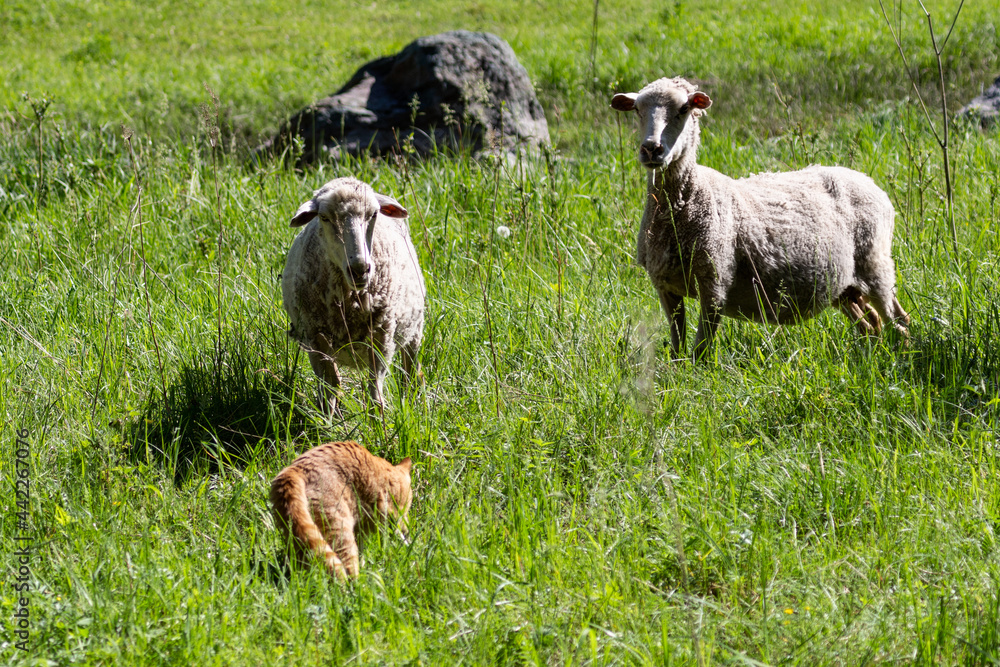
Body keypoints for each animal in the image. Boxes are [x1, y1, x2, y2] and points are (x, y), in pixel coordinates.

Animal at [282, 177, 425, 415]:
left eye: (373, 214)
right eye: (324, 217)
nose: (359, 269)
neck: (351, 301)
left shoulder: (381, 339)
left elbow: (375, 394)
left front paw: (378, 420)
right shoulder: (316, 339)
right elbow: (329, 391)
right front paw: (327, 421)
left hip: (414, 330)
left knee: (410, 371)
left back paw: (411, 402)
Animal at [611, 77, 910, 360]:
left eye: (684, 109)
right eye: (637, 110)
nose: (652, 149)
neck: (679, 209)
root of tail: (869, 181)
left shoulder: (715, 282)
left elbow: (701, 350)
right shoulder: (664, 286)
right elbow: (677, 346)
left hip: (875, 263)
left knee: (898, 319)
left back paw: (903, 354)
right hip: (842, 284)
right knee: (870, 322)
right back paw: (872, 353)